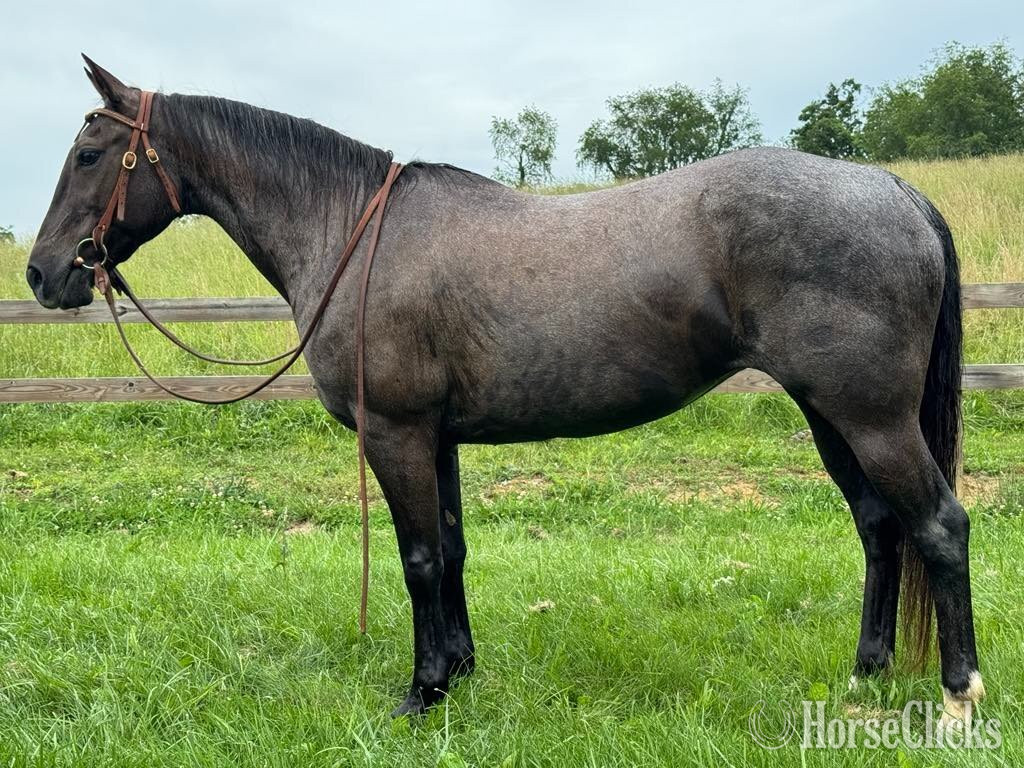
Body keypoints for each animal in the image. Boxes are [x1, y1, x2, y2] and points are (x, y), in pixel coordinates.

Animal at [26, 57, 983, 721]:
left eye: (89, 153)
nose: (42, 274)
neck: (350, 230)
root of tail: (891, 189)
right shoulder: (436, 438)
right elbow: (451, 552)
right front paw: (459, 673)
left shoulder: (397, 434)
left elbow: (417, 560)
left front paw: (420, 692)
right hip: (830, 414)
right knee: (880, 527)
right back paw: (865, 672)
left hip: (871, 417)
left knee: (938, 526)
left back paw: (958, 693)